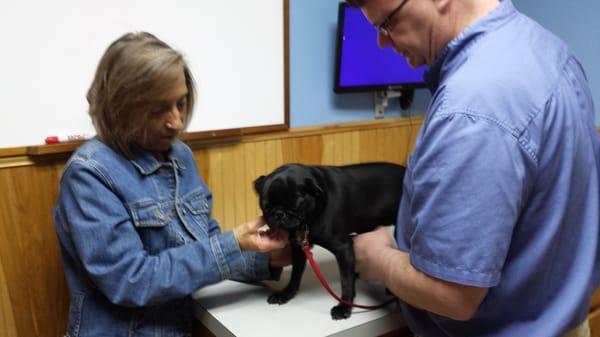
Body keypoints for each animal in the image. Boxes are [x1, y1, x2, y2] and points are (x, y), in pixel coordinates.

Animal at [251, 161, 406, 318]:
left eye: (296, 205)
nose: (278, 213)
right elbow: (295, 274)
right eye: (265, 206)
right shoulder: (299, 249)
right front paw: (287, 293)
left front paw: (345, 306)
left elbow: (346, 280)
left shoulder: (344, 248)